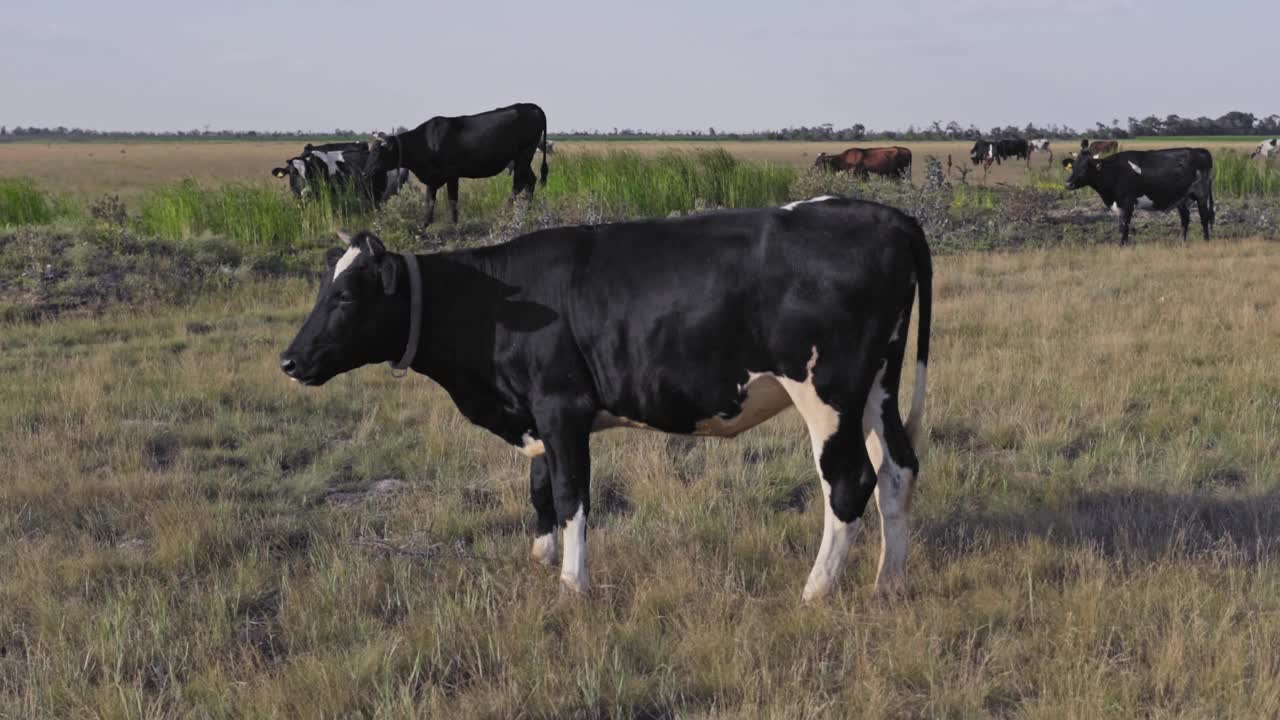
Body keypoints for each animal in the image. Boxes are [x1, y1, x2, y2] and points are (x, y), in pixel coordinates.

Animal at [282, 196, 931, 599]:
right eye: (320, 289)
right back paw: (889, 583)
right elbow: (540, 486)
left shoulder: (561, 406)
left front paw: (573, 584)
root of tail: (889, 216)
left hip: (827, 392)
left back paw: (816, 590)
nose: (289, 360)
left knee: (849, 481)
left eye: (346, 296)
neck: (493, 304)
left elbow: (572, 494)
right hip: (877, 384)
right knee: (897, 469)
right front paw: (542, 557)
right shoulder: (538, 414)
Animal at [363, 102, 547, 222]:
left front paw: (455, 226)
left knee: (518, 184)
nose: (365, 173)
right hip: (522, 159)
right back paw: (527, 211)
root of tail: (533, 106)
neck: (426, 142)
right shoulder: (432, 179)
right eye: (369, 151)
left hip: (524, 155)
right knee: (530, 181)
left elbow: (452, 202)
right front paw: (422, 229)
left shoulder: (452, 175)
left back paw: (506, 211)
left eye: (378, 153)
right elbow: (429, 204)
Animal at [1064, 147, 1213, 243]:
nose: (1068, 184)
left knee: (1204, 217)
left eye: (1086, 168)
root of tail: (1199, 150)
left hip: (1201, 193)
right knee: (1185, 219)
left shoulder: (1127, 202)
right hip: (1182, 197)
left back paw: (1206, 240)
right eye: (1073, 167)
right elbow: (1121, 225)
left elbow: (1125, 225)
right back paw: (1182, 242)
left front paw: (1122, 246)